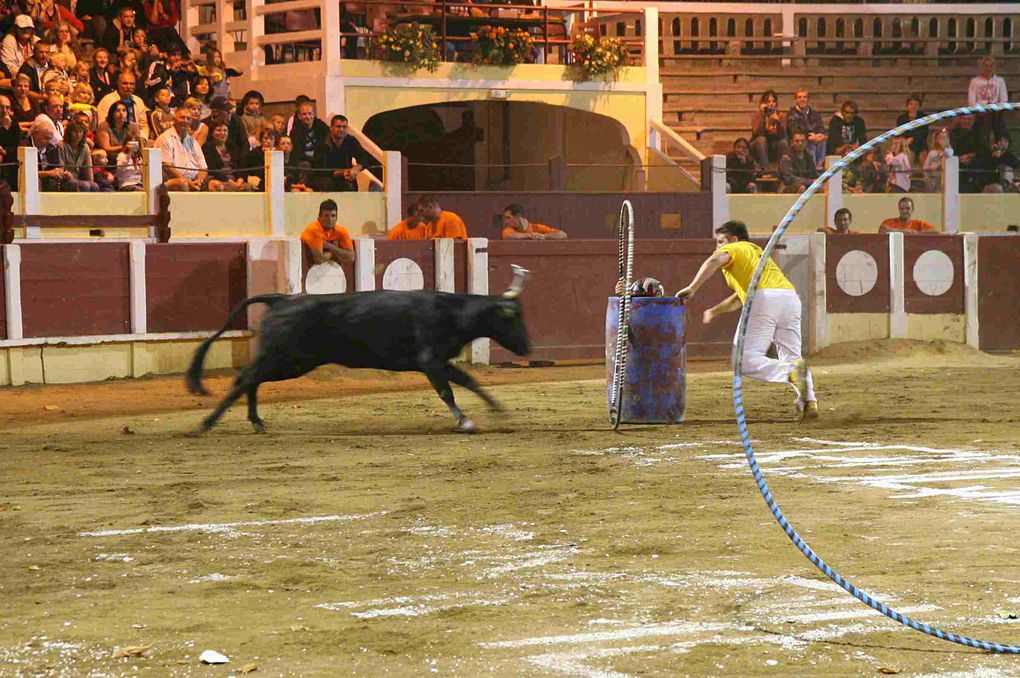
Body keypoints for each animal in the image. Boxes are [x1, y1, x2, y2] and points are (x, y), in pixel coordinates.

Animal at [185, 265, 534, 434]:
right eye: (513, 318)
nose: (528, 348)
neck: (452, 311)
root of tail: (281, 300)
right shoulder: (430, 361)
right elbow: (447, 391)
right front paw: (465, 422)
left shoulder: (441, 362)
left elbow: (469, 381)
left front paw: (498, 411)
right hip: (285, 358)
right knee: (245, 379)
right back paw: (206, 424)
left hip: (292, 362)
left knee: (250, 380)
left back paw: (256, 422)